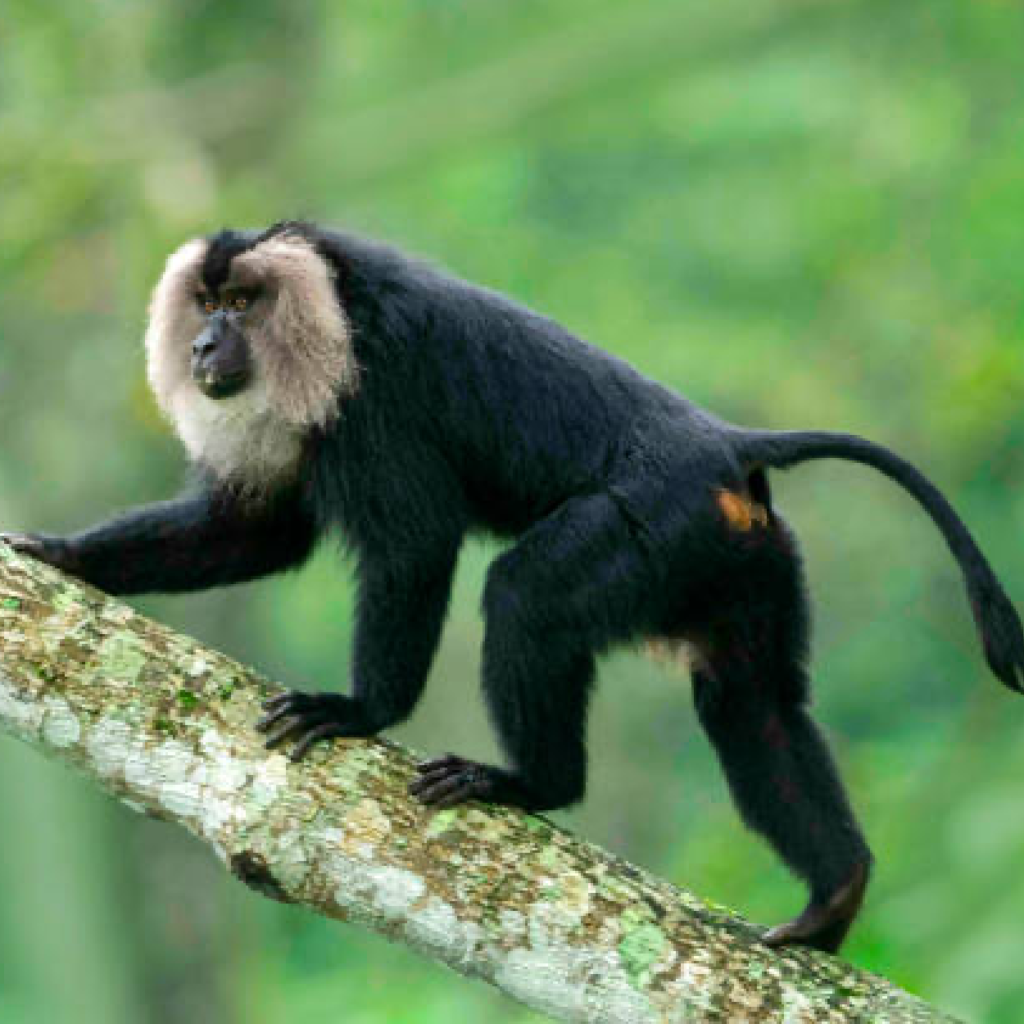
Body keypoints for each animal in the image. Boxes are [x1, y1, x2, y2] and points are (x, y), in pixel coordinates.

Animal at [4, 220, 1019, 954]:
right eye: (209, 302)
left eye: (245, 304)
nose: (207, 342)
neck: (336, 315)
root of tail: (727, 446)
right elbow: (257, 532)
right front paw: (65, 557)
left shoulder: (380, 402)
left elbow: (414, 549)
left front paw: (361, 711)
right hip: (741, 557)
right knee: (750, 703)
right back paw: (835, 892)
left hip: (656, 524)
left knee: (528, 596)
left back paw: (535, 784)